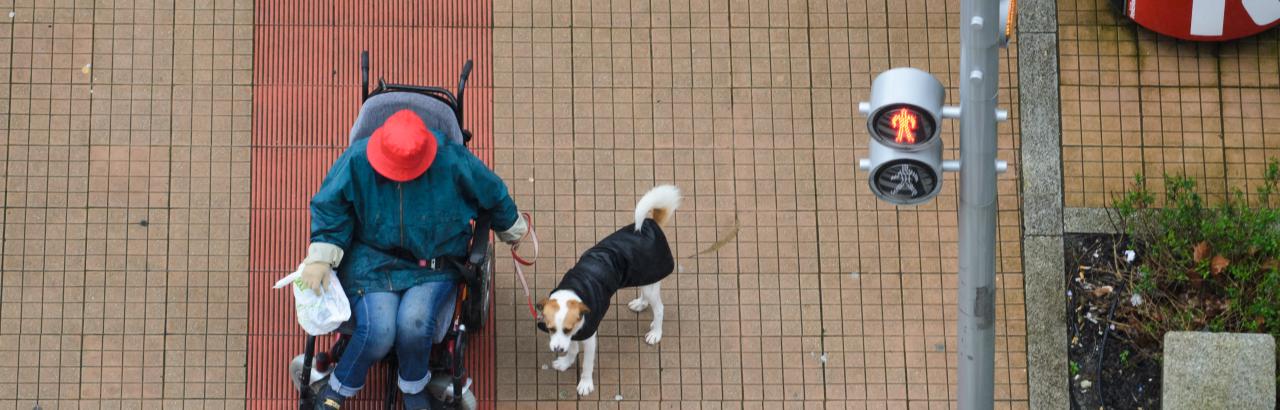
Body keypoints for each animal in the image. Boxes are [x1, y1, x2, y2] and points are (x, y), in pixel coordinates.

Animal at [535, 184, 680, 394]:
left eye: (567, 329)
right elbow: (573, 349)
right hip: (643, 277)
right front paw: (566, 362)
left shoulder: (589, 337)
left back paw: (656, 333)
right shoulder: (577, 333)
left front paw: (585, 384)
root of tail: (651, 224)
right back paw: (641, 305)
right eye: (550, 328)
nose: (557, 350)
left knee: (660, 309)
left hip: (650, 283)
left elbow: (587, 364)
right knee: (647, 297)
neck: (574, 290)